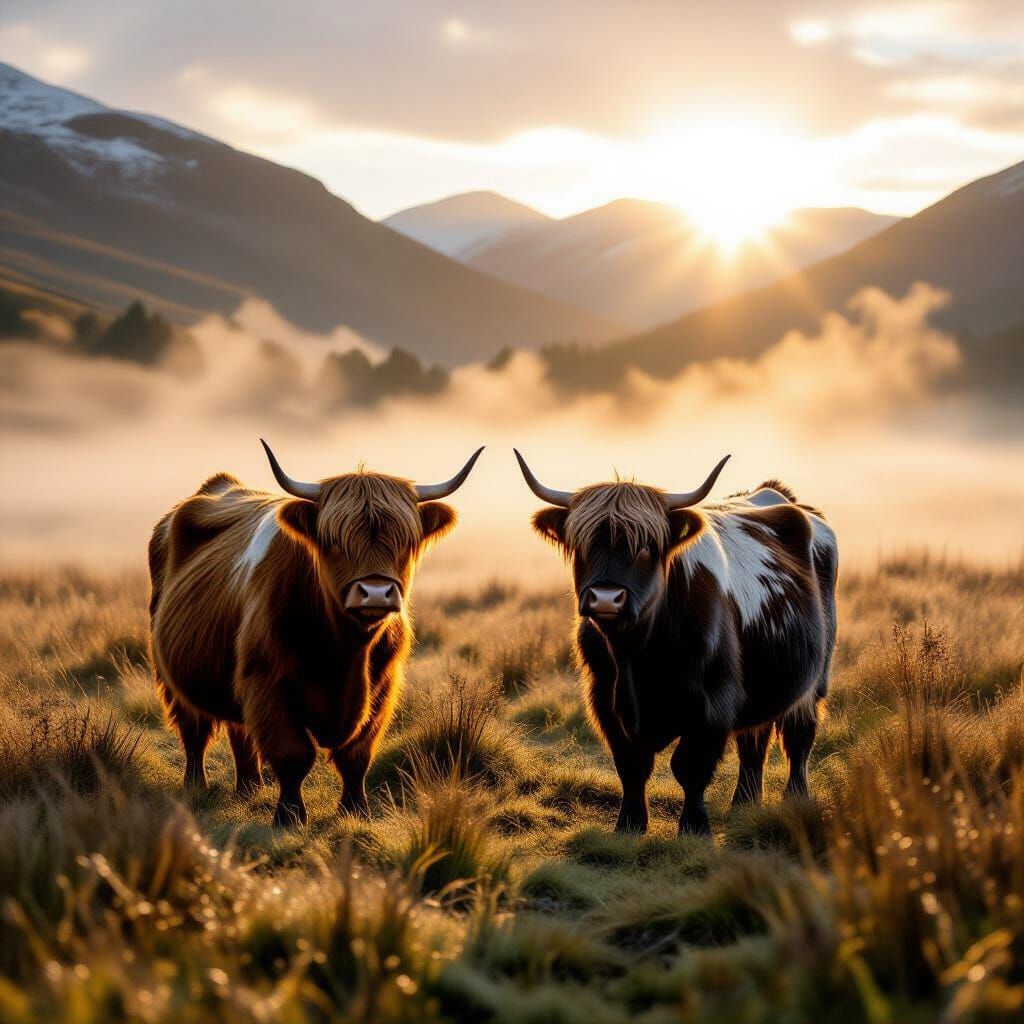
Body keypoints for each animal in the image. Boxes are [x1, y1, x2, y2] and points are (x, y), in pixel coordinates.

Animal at [149, 442, 483, 826]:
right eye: (333, 540)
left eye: (406, 540)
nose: (375, 593)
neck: (344, 652)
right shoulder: (266, 682)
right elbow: (293, 754)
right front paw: (289, 815)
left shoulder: (383, 686)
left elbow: (356, 755)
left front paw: (356, 809)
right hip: (172, 675)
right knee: (194, 732)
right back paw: (196, 787)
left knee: (240, 731)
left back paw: (249, 787)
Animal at [514, 450, 838, 836]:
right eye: (583, 544)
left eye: (646, 546)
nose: (606, 599)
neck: (637, 655)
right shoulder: (604, 698)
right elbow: (631, 764)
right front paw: (630, 824)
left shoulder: (714, 702)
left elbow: (690, 766)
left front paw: (695, 827)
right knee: (753, 742)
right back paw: (744, 805)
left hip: (813, 681)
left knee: (798, 738)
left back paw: (795, 800)